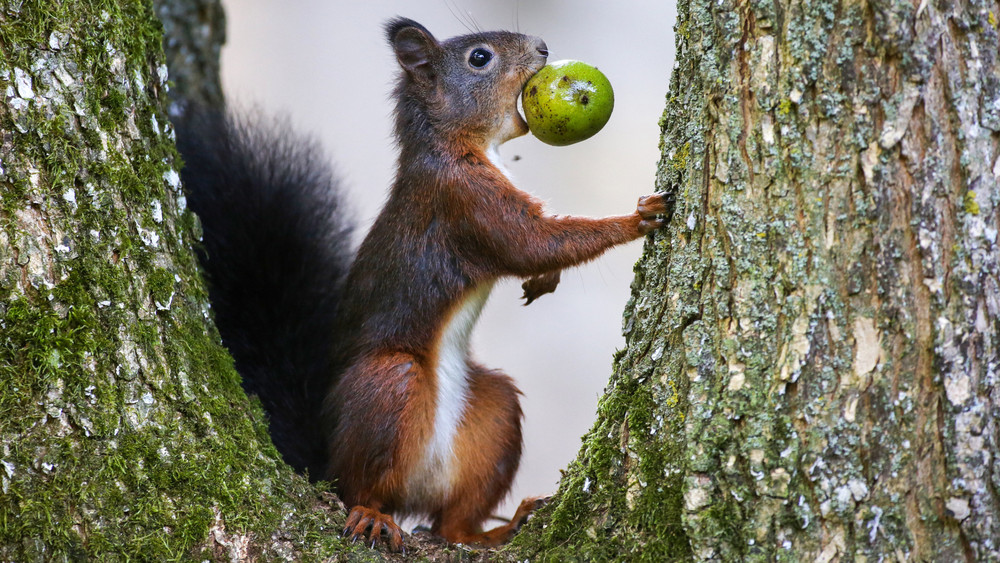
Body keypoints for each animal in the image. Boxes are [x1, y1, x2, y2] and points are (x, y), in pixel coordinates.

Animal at [177, 16, 668, 552]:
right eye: (479, 58)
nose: (542, 47)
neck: (460, 144)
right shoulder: (464, 198)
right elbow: (532, 242)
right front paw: (637, 218)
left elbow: (541, 249)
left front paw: (548, 277)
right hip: (386, 386)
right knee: (361, 485)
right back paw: (372, 514)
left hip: (493, 415)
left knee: (452, 523)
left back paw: (499, 529)